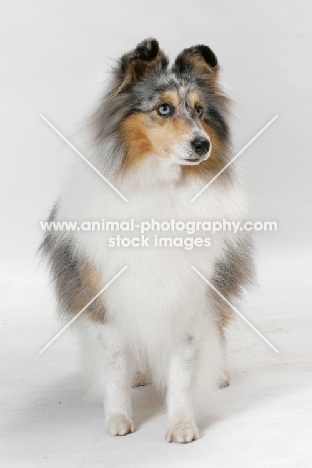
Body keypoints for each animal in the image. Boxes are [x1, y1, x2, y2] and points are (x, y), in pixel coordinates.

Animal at [41, 39, 255, 442]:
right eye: (163, 108)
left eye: (200, 111)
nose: (202, 145)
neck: (159, 186)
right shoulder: (106, 301)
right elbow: (115, 367)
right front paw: (118, 419)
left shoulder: (189, 297)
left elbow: (184, 371)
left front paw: (182, 425)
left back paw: (219, 374)